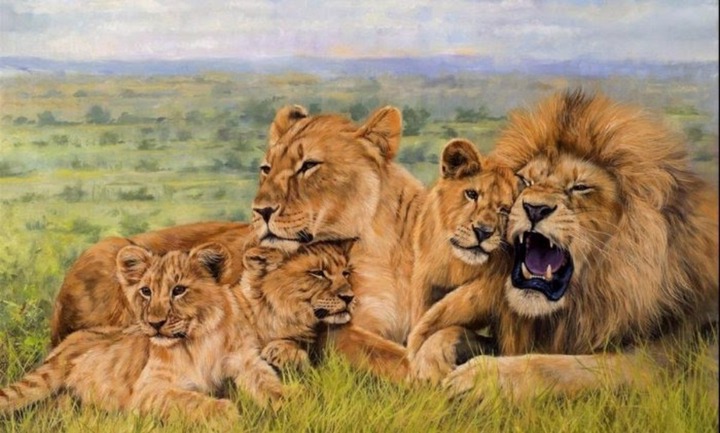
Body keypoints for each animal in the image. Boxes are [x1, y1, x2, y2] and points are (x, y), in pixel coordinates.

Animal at [405, 138, 518, 383]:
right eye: (472, 194)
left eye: (504, 209)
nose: (483, 231)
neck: (456, 265)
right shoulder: (424, 281)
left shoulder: (498, 285)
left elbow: (444, 312)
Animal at [418, 90, 718, 401]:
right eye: (526, 180)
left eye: (580, 187)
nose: (535, 208)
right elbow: (452, 331)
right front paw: (430, 360)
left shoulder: (660, 363)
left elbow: (560, 366)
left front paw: (482, 378)